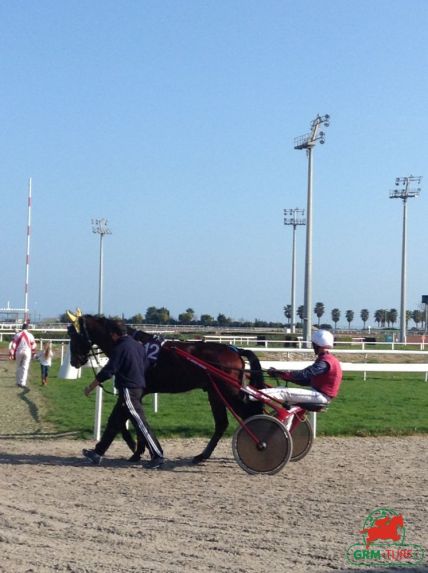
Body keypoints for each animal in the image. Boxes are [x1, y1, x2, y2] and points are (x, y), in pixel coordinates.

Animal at [66, 310, 268, 462]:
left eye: (73, 336)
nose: (75, 361)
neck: (131, 343)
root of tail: (235, 350)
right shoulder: (136, 392)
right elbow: (131, 419)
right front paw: (138, 451)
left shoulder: (132, 390)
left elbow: (118, 419)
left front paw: (120, 448)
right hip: (215, 393)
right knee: (222, 424)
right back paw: (202, 455)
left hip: (229, 392)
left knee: (251, 414)